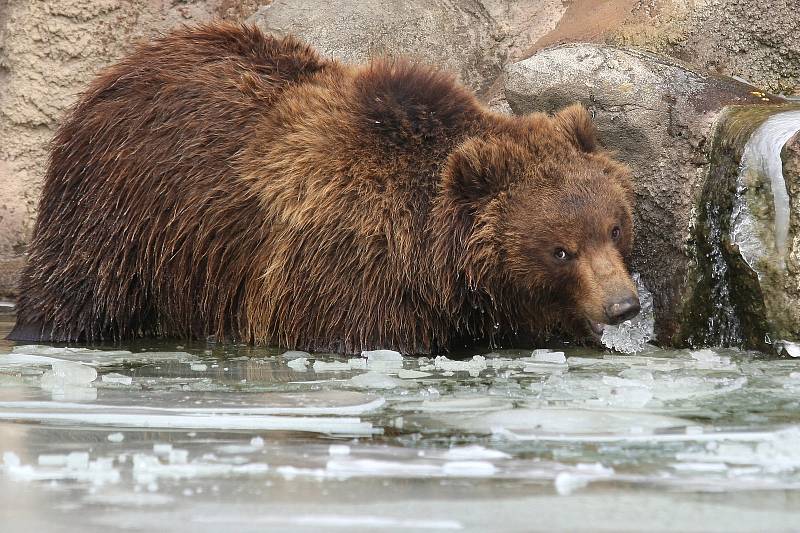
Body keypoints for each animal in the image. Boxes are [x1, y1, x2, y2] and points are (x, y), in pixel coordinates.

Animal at [7, 22, 636, 354]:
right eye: (560, 248)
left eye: (614, 227)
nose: (623, 304)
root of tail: (123, 68)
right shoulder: (348, 272)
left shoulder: (500, 299)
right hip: (123, 209)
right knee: (76, 286)